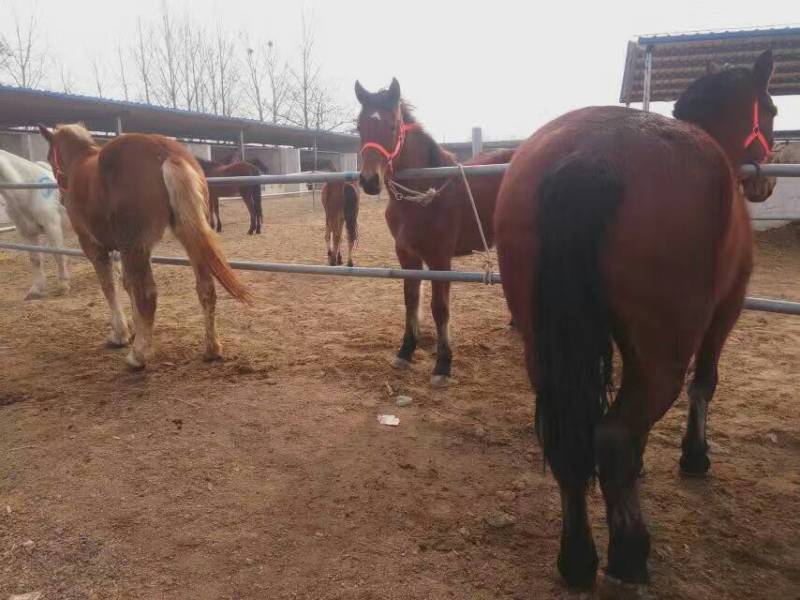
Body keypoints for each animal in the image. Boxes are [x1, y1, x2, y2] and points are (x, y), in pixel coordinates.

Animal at [0, 149, 70, 299]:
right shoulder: (27, 231)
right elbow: (35, 259)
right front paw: (36, 289)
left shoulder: (52, 225)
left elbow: (58, 254)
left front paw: (64, 285)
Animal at [38, 123, 252, 369]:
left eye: (49, 156)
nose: (60, 197)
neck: (79, 164)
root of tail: (168, 154)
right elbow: (128, 284)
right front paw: (134, 330)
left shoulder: (95, 247)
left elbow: (110, 287)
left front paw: (121, 335)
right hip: (189, 236)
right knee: (205, 288)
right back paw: (211, 349)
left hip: (137, 246)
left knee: (148, 294)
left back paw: (138, 356)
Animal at [355, 78, 514, 386]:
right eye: (359, 127)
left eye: (392, 125)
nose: (369, 181)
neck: (425, 194)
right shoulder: (407, 255)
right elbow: (410, 300)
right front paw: (405, 352)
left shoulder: (440, 260)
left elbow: (439, 308)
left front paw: (443, 365)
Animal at [494, 51, 776, 589]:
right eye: (771, 109)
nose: (766, 182)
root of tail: (591, 158)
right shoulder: (726, 309)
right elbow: (705, 383)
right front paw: (695, 457)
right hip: (664, 354)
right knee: (615, 436)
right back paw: (628, 553)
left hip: (543, 348)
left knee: (571, 443)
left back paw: (577, 560)